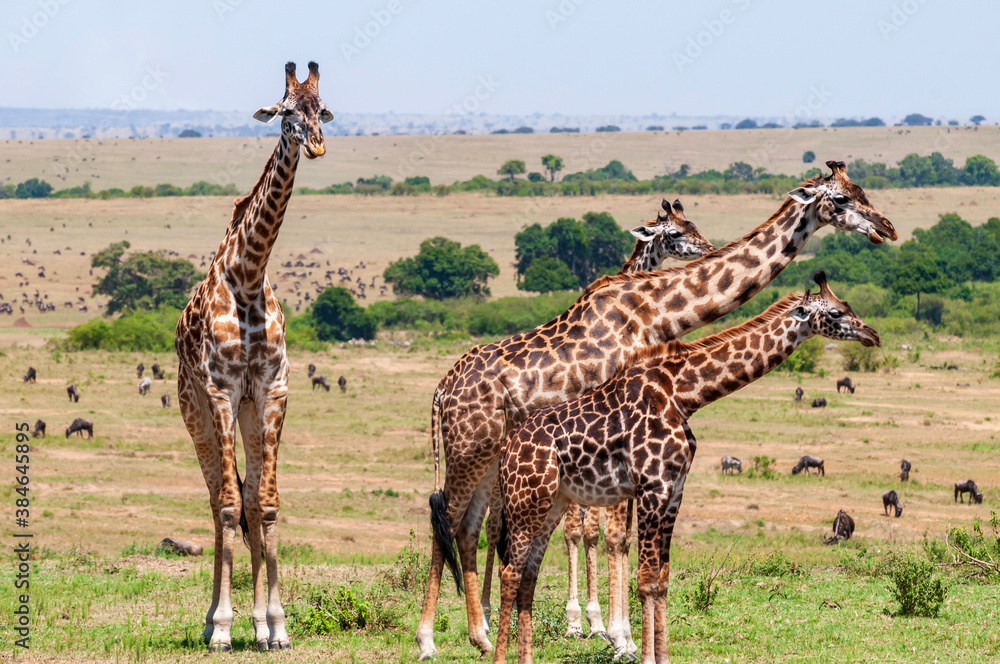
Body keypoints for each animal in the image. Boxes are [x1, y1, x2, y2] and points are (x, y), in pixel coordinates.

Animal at [174, 61, 333, 652]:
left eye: (322, 109)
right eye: (285, 111)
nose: (316, 143)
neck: (247, 273)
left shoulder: (272, 389)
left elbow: (262, 503)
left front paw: (275, 625)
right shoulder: (220, 390)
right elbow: (225, 505)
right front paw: (222, 627)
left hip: (246, 409)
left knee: (243, 499)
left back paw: (258, 625)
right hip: (193, 407)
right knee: (214, 497)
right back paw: (209, 622)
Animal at [494, 272, 881, 664]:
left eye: (848, 306)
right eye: (835, 312)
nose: (872, 335)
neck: (684, 395)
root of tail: (508, 447)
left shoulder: (674, 490)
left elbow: (663, 578)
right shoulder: (652, 488)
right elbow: (647, 578)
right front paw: (642, 653)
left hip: (551, 502)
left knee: (528, 575)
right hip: (526, 501)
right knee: (510, 571)